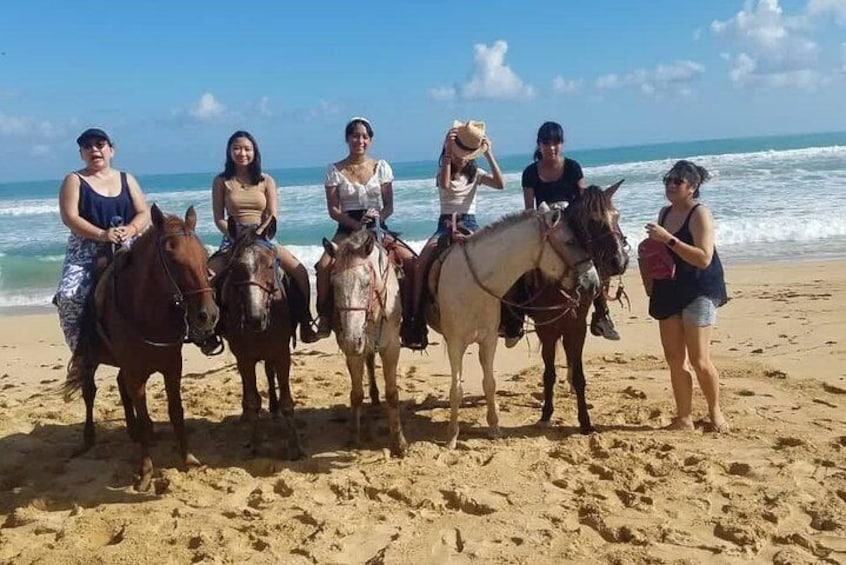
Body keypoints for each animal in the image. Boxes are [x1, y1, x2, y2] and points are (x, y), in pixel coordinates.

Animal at [65, 204, 220, 490]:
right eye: (173, 258)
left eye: (204, 256)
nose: (208, 315)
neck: (147, 314)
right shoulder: (136, 374)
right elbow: (146, 418)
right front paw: (146, 473)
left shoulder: (172, 367)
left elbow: (176, 412)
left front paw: (188, 458)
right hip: (91, 359)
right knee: (90, 392)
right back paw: (89, 439)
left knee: (119, 385)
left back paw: (131, 431)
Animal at [219, 216, 304, 458]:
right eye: (235, 267)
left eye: (269, 264)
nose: (255, 318)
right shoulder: (244, 358)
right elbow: (254, 400)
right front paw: (255, 443)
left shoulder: (282, 353)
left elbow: (286, 401)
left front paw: (295, 446)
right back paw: (246, 415)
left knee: (269, 371)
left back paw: (274, 410)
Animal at [324, 227, 408, 456]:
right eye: (334, 283)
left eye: (366, 283)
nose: (352, 340)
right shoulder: (353, 352)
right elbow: (356, 394)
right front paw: (353, 437)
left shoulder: (392, 348)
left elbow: (392, 394)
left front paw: (399, 443)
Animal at [428, 205, 600, 448]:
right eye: (570, 241)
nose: (593, 283)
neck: (473, 282)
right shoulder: (455, 344)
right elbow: (456, 389)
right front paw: (452, 436)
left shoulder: (488, 340)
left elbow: (489, 383)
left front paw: (494, 427)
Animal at [524, 181, 628, 432]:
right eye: (592, 221)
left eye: (617, 215)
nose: (619, 262)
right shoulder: (546, 327)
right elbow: (549, 373)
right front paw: (546, 414)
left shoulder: (577, 325)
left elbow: (579, 373)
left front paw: (585, 421)